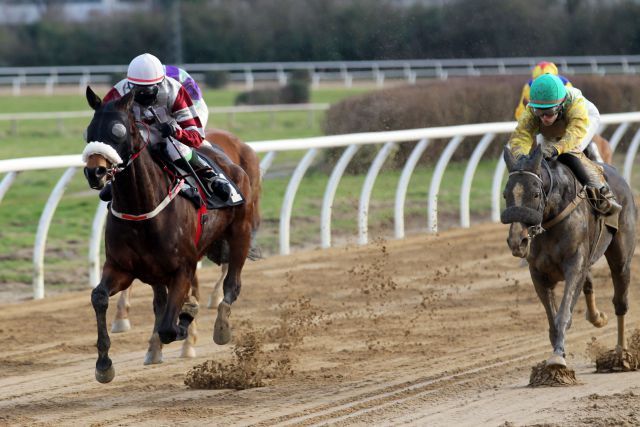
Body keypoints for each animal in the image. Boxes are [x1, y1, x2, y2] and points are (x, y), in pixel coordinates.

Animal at [81, 87, 256, 384]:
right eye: (89, 131)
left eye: (118, 131)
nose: (96, 172)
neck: (143, 209)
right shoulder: (121, 268)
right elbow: (99, 297)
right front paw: (104, 364)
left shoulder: (183, 268)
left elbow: (169, 327)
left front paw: (187, 318)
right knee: (160, 302)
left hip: (240, 234)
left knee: (232, 285)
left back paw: (220, 325)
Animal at [504, 145, 636, 370]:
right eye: (505, 194)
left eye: (536, 194)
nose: (516, 241)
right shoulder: (538, 273)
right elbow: (552, 320)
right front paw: (558, 353)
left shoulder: (574, 264)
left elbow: (563, 314)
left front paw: (557, 357)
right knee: (589, 284)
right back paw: (597, 317)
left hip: (621, 256)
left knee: (620, 300)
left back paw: (620, 354)